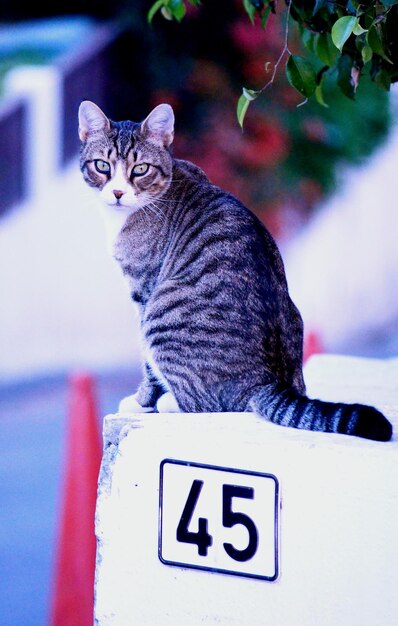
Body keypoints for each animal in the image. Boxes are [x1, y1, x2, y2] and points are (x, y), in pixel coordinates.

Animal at [77, 98, 392, 438]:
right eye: (102, 166)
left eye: (140, 169)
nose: (118, 193)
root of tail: (267, 381)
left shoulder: (145, 291)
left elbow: (148, 369)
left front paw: (141, 401)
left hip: (162, 311)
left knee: (207, 401)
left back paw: (169, 402)